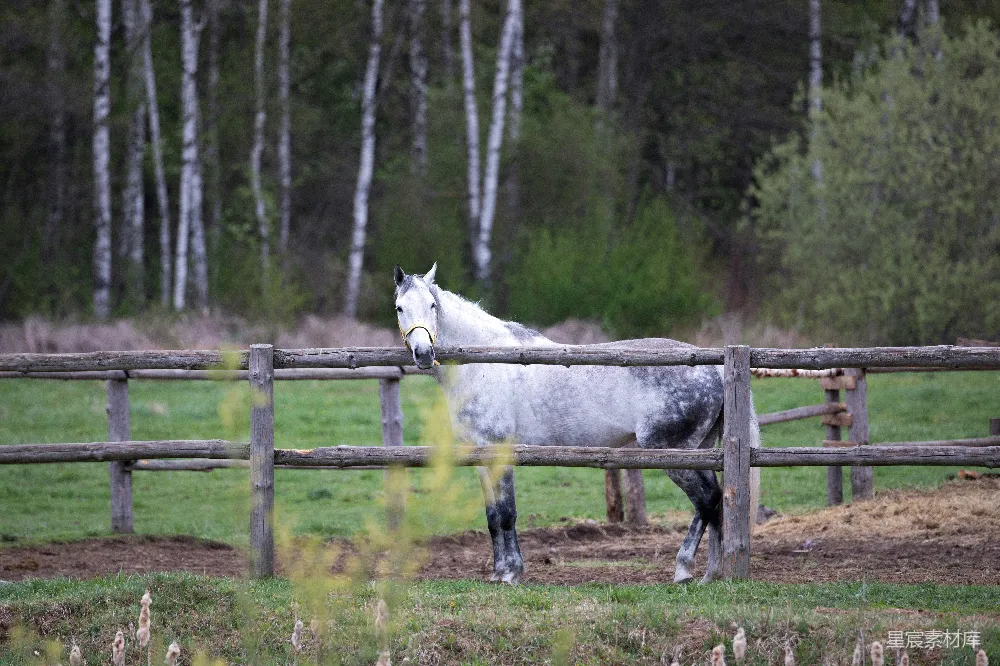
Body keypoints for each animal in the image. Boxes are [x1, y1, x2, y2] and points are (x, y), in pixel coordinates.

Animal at [393, 263, 761, 584]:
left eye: (432, 305)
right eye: (399, 308)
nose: (423, 353)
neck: (485, 365)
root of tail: (715, 368)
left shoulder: (500, 452)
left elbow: (507, 514)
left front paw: (511, 574)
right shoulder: (482, 458)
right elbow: (493, 517)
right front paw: (499, 574)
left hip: (672, 455)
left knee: (707, 500)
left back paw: (684, 571)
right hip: (700, 452)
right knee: (714, 502)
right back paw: (711, 574)